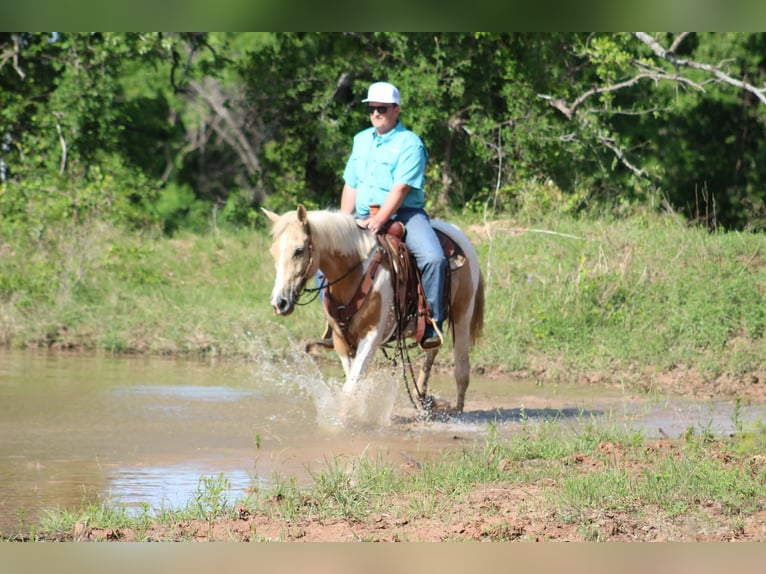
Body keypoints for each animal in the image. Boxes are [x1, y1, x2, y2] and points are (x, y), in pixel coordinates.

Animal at [262, 204, 484, 417]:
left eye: (299, 250)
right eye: (273, 251)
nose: (279, 302)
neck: (355, 273)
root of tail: (457, 233)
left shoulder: (371, 336)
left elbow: (350, 387)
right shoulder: (341, 341)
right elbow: (353, 382)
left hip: (462, 316)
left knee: (461, 367)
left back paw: (457, 410)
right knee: (432, 349)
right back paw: (422, 397)